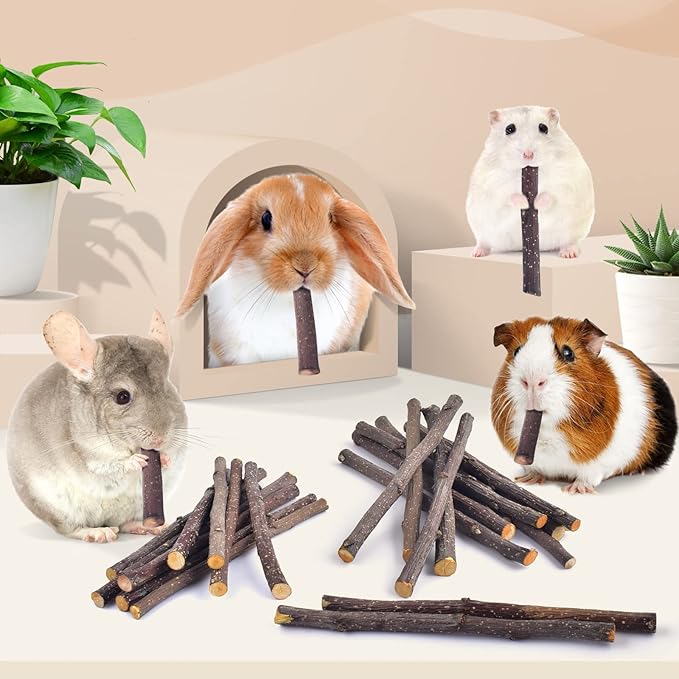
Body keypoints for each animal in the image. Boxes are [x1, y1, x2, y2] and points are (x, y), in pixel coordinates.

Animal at [6, 310, 188, 542]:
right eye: (122, 397)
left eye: (167, 390)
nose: (160, 439)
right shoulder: (90, 454)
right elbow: (108, 467)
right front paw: (136, 460)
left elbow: (171, 458)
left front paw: (164, 458)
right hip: (56, 509)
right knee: (71, 529)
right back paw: (99, 533)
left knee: (125, 524)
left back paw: (151, 527)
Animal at [466, 106, 594, 259]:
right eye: (509, 129)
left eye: (543, 127)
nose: (528, 154)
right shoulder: (491, 184)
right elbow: (507, 196)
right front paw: (525, 203)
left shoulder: (568, 180)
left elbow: (552, 194)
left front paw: (537, 203)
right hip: (481, 229)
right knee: (484, 242)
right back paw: (477, 253)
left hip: (573, 230)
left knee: (571, 242)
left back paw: (569, 253)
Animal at [491, 316, 676, 494]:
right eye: (516, 351)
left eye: (568, 353)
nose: (531, 381)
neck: (545, 430)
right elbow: (534, 469)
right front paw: (527, 479)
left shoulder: (598, 465)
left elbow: (587, 477)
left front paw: (575, 490)